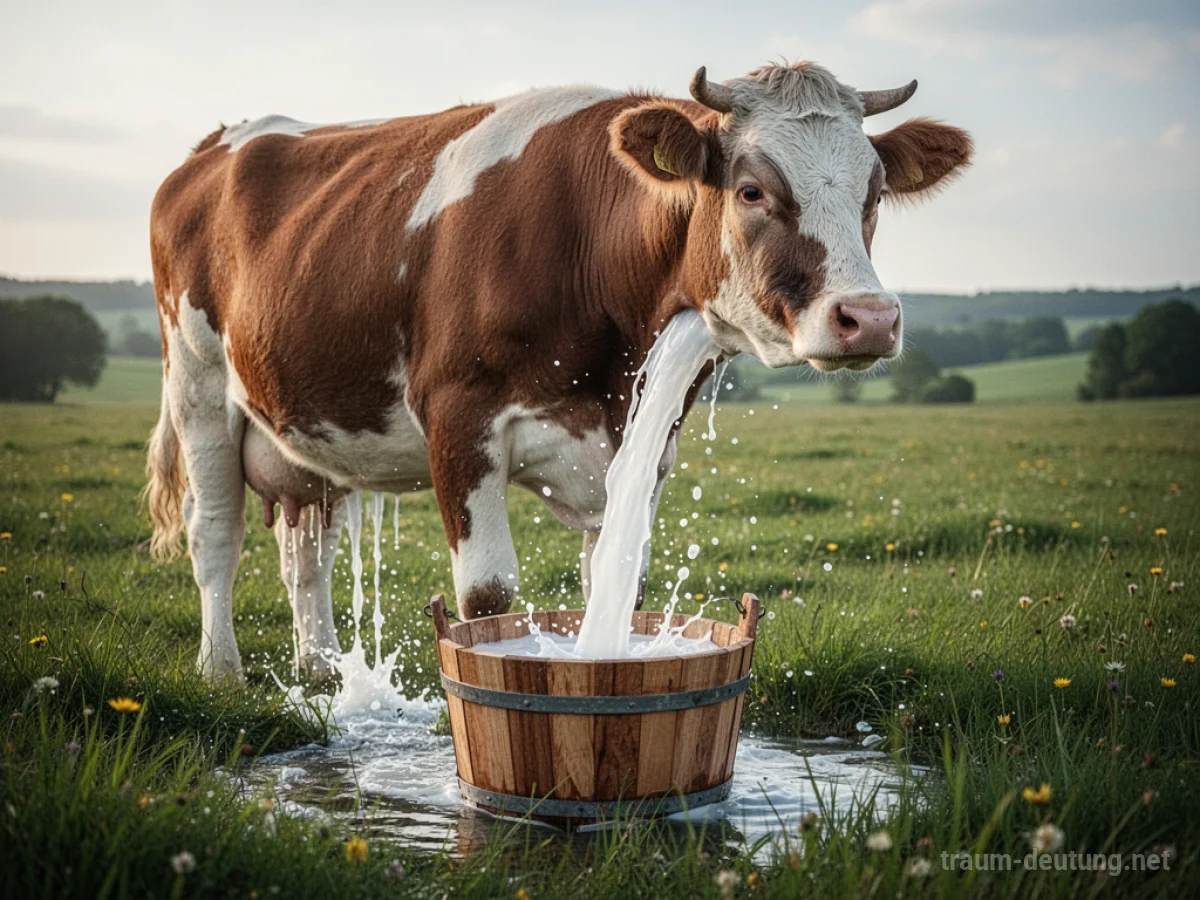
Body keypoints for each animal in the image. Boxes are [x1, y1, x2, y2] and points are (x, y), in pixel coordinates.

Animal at [145, 62, 971, 678]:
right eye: (751, 190)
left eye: (873, 196)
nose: (869, 317)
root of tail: (222, 142)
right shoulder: (459, 418)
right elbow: (487, 599)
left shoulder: (641, 440)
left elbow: (615, 584)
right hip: (198, 383)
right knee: (214, 534)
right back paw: (221, 670)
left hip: (303, 427)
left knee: (305, 548)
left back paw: (317, 667)